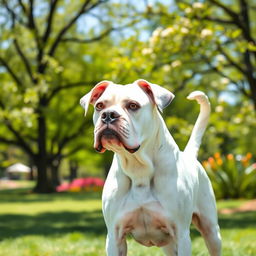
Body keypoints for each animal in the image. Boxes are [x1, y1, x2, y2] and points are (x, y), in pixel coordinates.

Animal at [80, 79, 222, 255]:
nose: (108, 115)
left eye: (133, 105)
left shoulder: (181, 234)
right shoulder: (114, 237)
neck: (138, 167)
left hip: (211, 231)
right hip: (169, 245)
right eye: (100, 106)